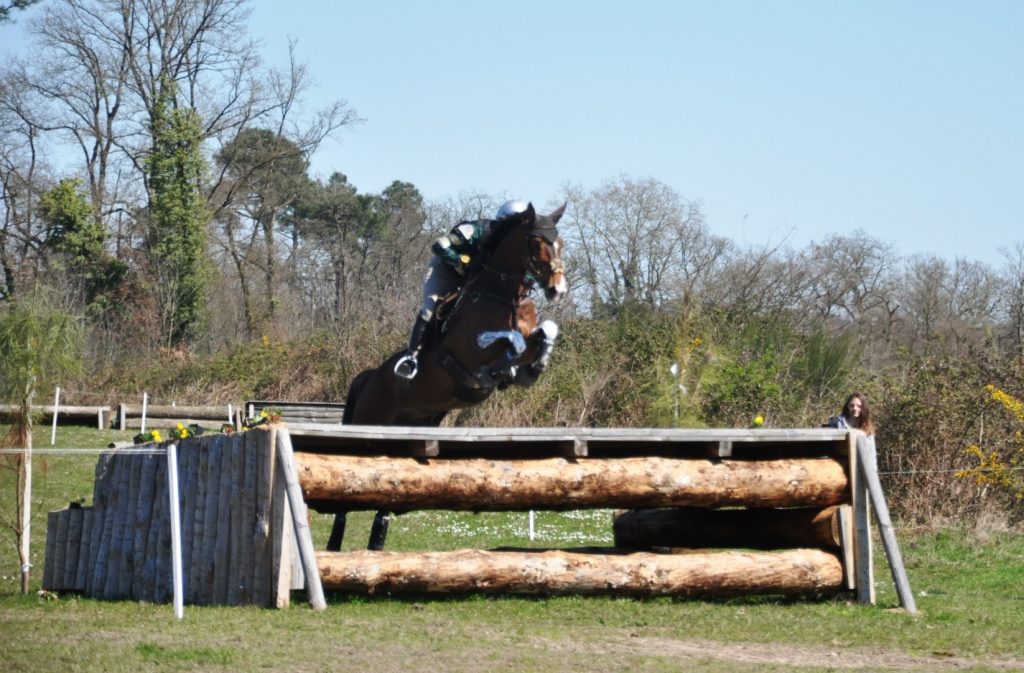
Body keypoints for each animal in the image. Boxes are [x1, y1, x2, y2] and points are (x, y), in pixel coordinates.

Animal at [327, 201, 569, 549]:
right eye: (537, 243)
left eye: (560, 243)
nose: (557, 289)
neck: (501, 294)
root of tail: (369, 377)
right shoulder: (471, 349)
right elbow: (508, 341)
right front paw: (502, 369)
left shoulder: (531, 333)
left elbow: (546, 331)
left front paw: (532, 369)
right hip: (369, 423)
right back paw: (334, 545)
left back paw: (376, 545)